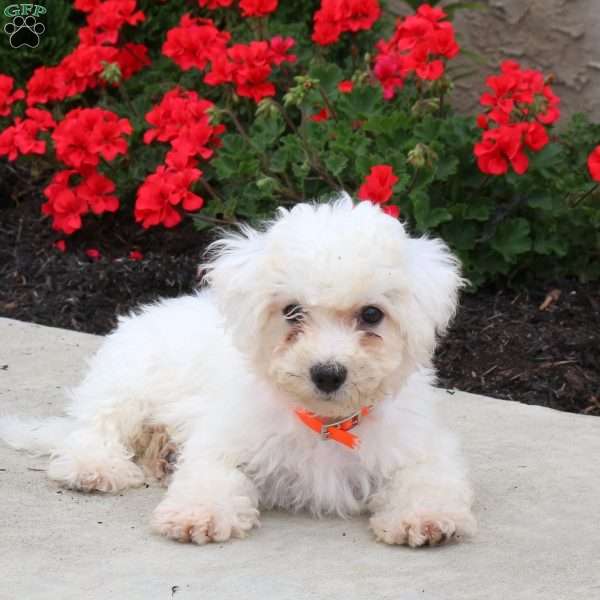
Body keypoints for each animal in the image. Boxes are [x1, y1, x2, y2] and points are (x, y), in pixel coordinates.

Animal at [1, 197, 478, 548]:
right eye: (292, 311)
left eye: (372, 315)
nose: (327, 373)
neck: (325, 422)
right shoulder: (221, 437)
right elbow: (211, 472)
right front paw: (198, 512)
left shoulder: (418, 443)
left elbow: (428, 476)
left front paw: (427, 515)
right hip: (127, 380)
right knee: (95, 428)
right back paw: (95, 467)